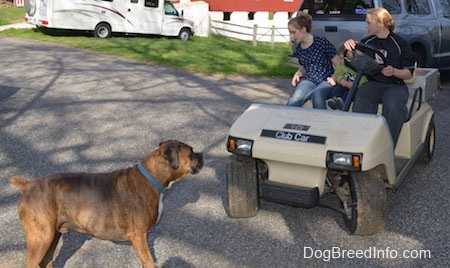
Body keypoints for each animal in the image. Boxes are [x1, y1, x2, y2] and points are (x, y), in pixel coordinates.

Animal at [9, 140, 203, 268]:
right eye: (191, 153)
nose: (201, 155)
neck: (152, 177)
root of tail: (28, 185)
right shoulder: (138, 237)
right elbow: (149, 261)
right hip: (40, 239)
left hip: (51, 237)